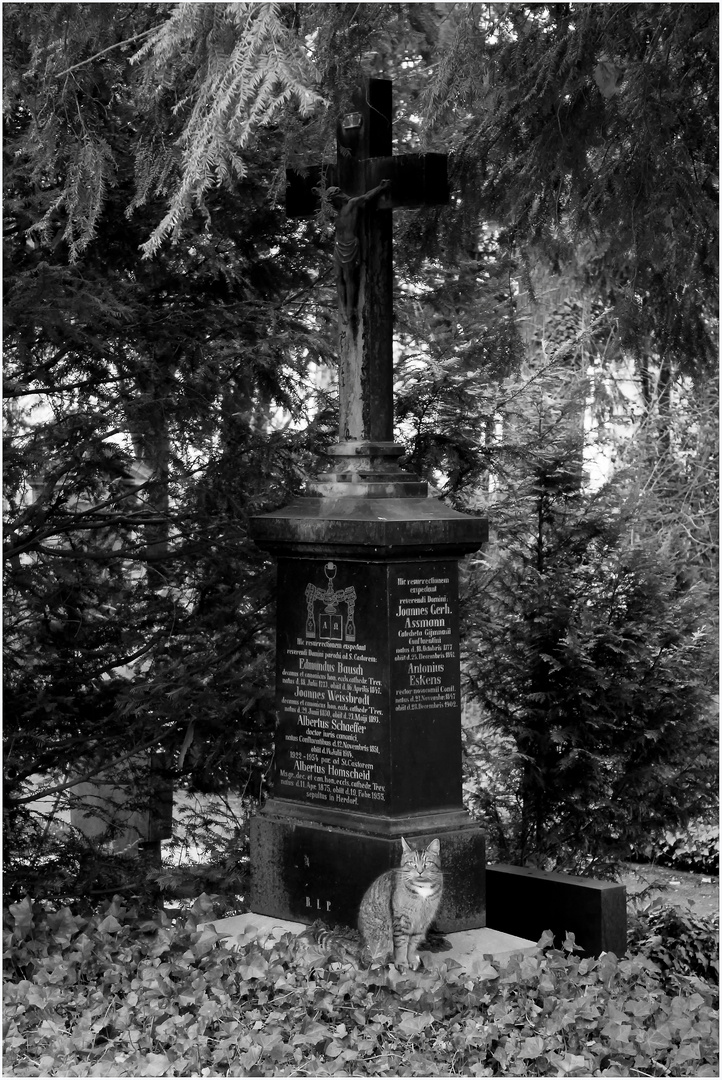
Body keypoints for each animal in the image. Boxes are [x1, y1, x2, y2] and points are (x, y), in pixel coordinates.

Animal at [358, 833, 442, 972]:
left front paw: (411, 960)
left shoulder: (422, 922)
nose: (420, 871)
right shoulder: (401, 919)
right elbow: (401, 944)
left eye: (427, 863)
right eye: (412, 863)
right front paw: (402, 962)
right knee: (371, 958)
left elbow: (412, 944)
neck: (422, 888)